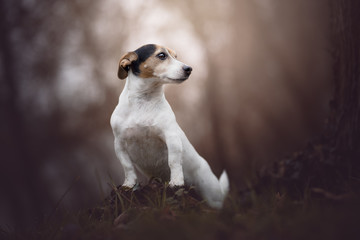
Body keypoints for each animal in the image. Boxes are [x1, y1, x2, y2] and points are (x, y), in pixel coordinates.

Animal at [109, 44, 229, 209]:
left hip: (212, 196)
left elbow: (173, 161)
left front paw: (176, 181)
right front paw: (128, 184)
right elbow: (127, 167)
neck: (144, 102)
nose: (189, 68)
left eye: (176, 56)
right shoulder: (119, 143)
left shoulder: (171, 137)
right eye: (161, 55)